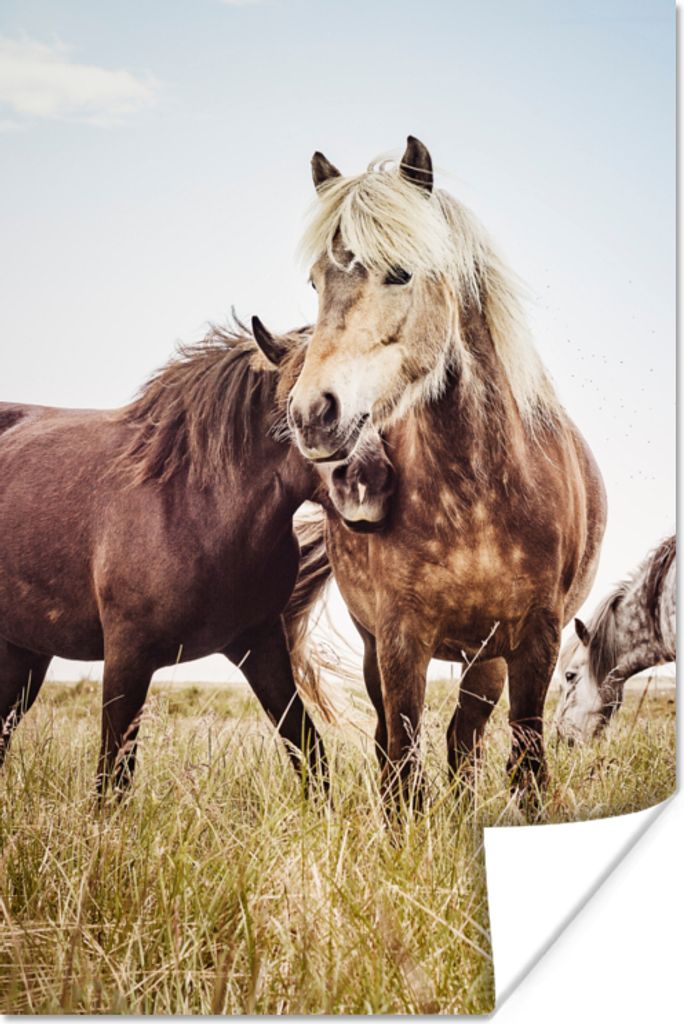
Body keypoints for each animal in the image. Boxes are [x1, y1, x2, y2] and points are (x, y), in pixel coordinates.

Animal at [0, 320, 393, 794]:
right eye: (303, 406)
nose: (371, 481)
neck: (192, 503)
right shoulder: (127, 656)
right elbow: (113, 775)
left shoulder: (260, 645)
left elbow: (308, 750)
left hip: (24, 651)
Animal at [253, 136, 607, 810]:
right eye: (316, 281)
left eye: (400, 272)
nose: (312, 414)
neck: (476, 496)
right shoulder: (399, 640)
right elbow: (402, 761)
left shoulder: (536, 640)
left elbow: (526, 759)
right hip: (384, 648)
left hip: (485, 658)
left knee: (464, 739)